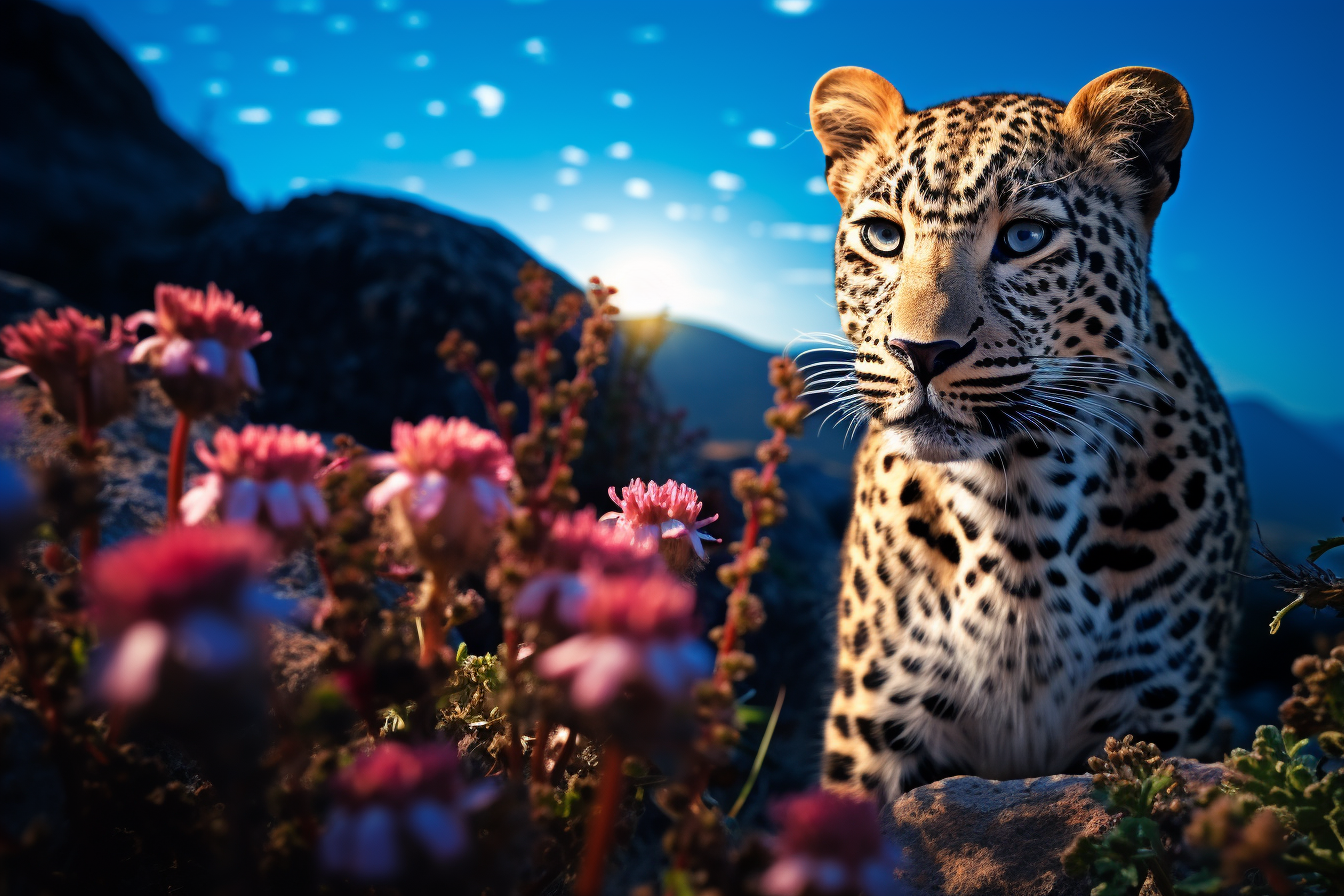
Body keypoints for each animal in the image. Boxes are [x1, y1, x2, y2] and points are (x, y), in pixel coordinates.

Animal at [801, 66, 1252, 800]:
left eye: (1024, 239)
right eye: (883, 236)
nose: (920, 353)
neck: (1018, 510)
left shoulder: (1156, 719)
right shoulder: (878, 723)